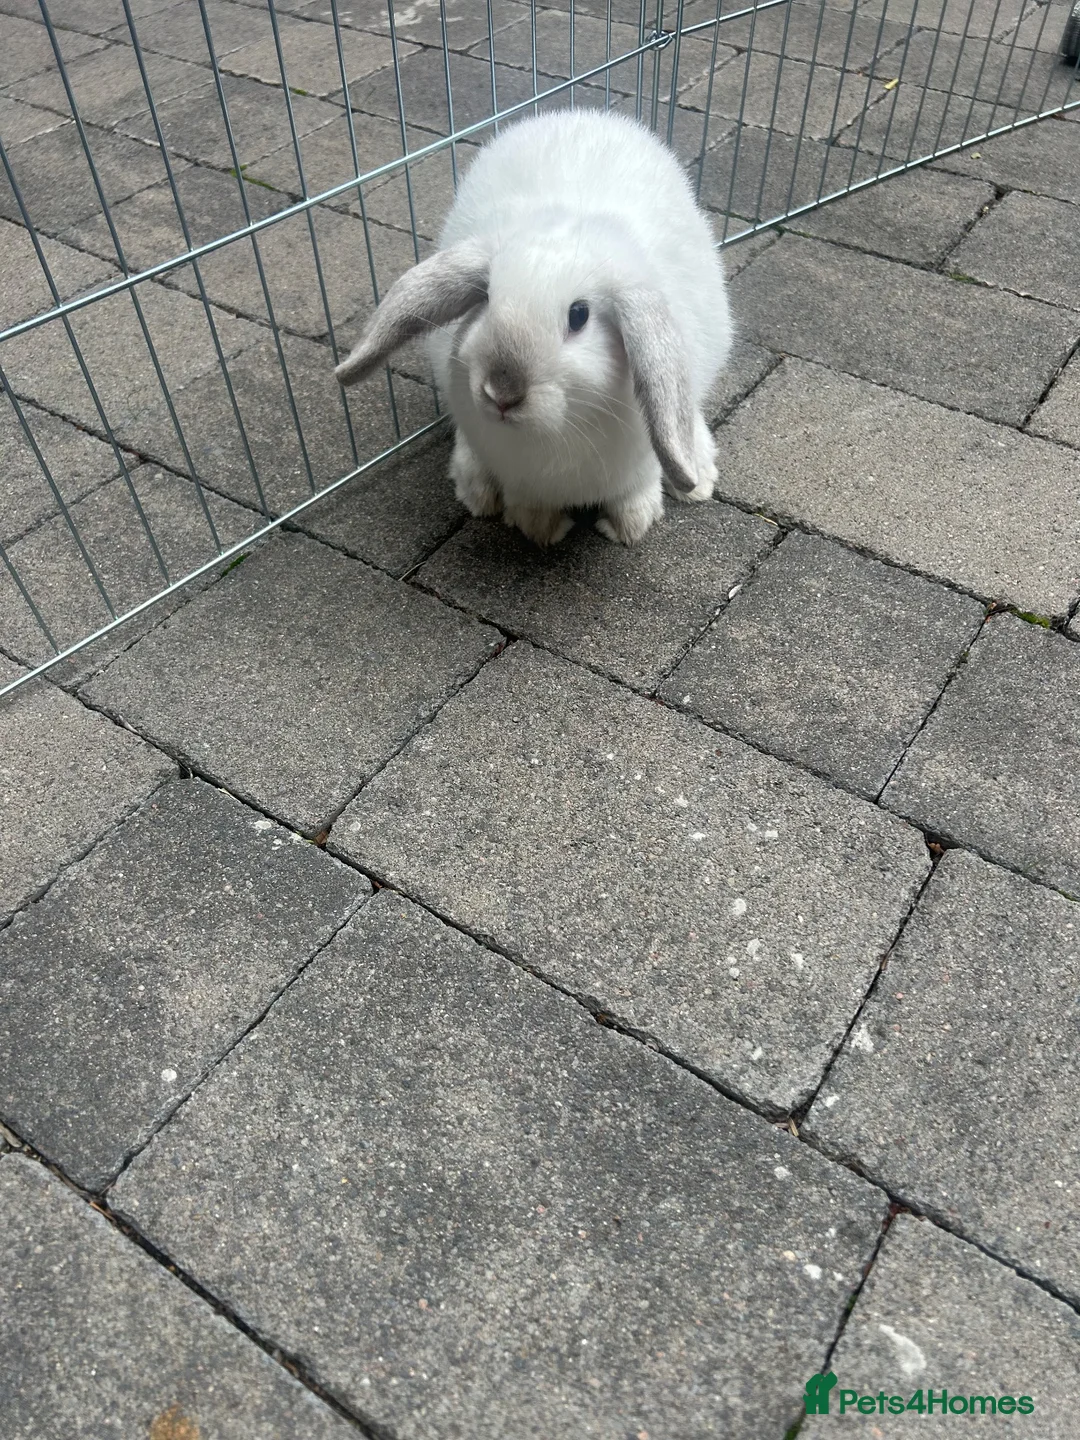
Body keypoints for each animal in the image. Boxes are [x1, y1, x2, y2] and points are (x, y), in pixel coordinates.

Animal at [335, 107, 733, 547]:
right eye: (487, 297)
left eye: (579, 315)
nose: (502, 393)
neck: (554, 431)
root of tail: (583, 114)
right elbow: (529, 503)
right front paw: (541, 529)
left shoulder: (639, 464)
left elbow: (635, 490)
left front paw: (630, 527)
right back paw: (478, 492)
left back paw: (697, 478)